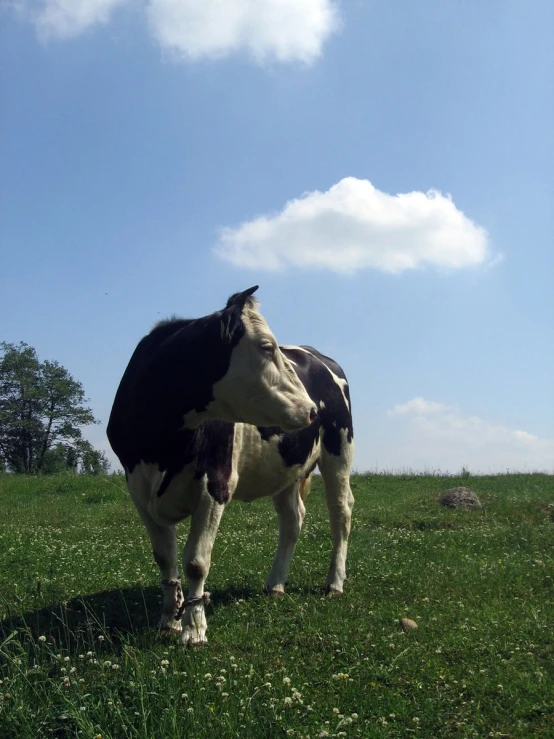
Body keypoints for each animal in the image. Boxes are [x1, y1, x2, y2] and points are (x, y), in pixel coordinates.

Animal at [105, 286, 352, 644]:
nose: (310, 409)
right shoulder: (138, 489)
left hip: (339, 448)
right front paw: (168, 620)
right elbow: (164, 558)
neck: (164, 444)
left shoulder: (215, 484)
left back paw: (334, 582)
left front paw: (193, 628)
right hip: (286, 468)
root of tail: (316, 353)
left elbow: (196, 561)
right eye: (266, 346)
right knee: (292, 520)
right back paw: (275, 584)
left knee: (341, 512)